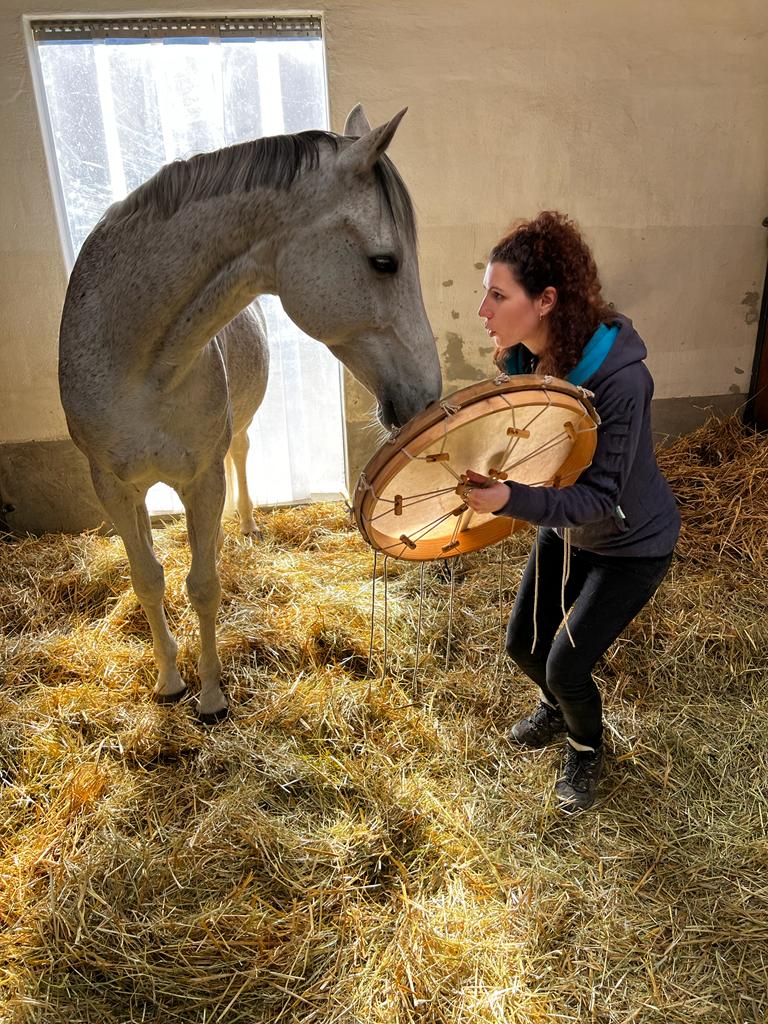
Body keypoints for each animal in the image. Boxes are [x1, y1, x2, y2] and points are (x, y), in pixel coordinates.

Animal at [58, 104, 442, 723]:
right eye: (385, 262)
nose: (427, 395)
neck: (136, 358)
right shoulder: (112, 485)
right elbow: (147, 579)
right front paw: (169, 680)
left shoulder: (200, 477)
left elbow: (203, 584)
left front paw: (212, 695)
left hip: (230, 441)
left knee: (238, 459)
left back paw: (243, 527)